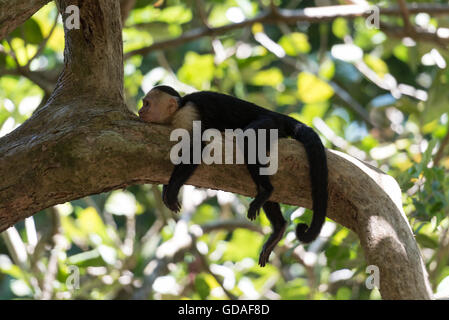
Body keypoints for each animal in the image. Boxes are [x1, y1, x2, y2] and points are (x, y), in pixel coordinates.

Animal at [138, 85, 328, 268]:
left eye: (146, 104)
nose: (140, 111)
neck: (177, 111)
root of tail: (275, 114)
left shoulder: (188, 115)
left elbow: (198, 146)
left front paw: (172, 190)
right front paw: (166, 188)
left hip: (270, 124)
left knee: (249, 139)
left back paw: (266, 191)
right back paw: (278, 227)